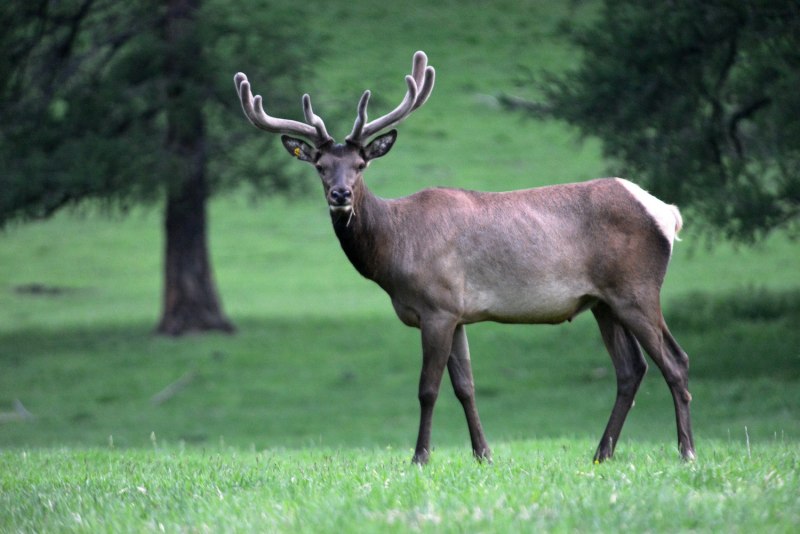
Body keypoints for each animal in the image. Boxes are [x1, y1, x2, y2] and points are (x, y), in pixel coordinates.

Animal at [234, 51, 696, 465]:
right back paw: (602, 453)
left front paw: (420, 457)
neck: (395, 252)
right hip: (603, 302)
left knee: (675, 360)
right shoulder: (457, 312)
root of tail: (668, 213)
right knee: (631, 369)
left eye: (361, 164)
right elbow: (465, 386)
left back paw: (685, 451)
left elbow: (428, 388)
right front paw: (483, 454)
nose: (340, 194)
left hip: (636, 287)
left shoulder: (437, 305)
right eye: (320, 166)